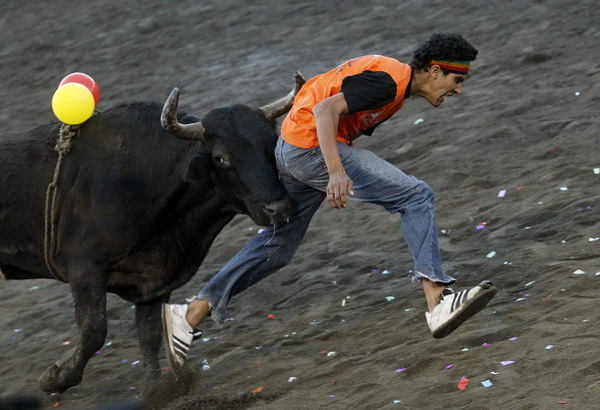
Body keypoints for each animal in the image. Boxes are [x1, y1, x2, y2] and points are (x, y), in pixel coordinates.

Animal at [1, 73, 304, 394]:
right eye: (220, 158)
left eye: (272, 143)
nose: (278, 208)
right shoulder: (83, 268)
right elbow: (94, 329)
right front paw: (55, 377)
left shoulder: (155, 281)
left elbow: (149, 334)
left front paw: (156, 389)